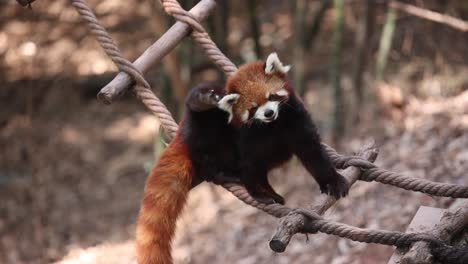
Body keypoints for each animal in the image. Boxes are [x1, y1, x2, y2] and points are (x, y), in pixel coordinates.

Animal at [218, 52, 348, 204]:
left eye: (271, 97)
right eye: (253, 108)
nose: (268, 113)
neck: (272, 125)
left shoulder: (296, 118)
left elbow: (312, 151)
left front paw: (332, 181)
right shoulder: (246, 137)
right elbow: (249, 165)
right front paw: (261, 193)